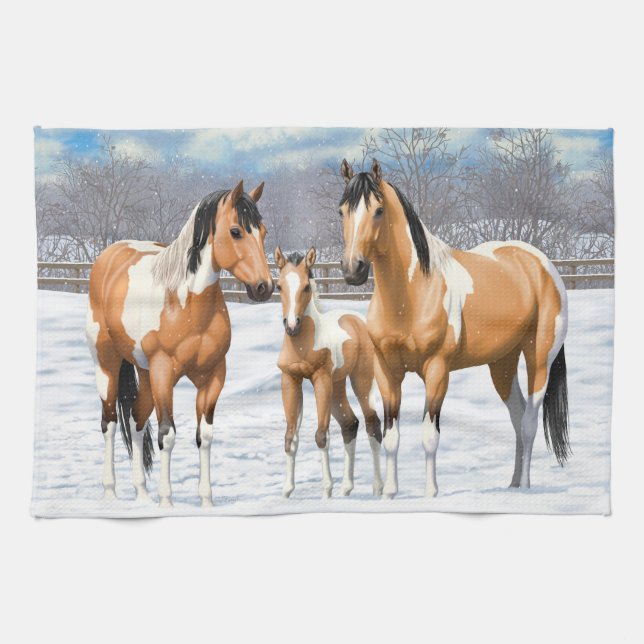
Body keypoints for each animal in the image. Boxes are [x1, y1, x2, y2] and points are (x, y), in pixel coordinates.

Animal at [85, 180, 274, 507]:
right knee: (109, 423)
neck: (185, 304)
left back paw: (141, 494)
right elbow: (167, 435)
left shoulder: (213, 375)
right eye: (236, 231)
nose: (265, 287)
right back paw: (110, 492)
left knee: (135, 419)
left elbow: (205, 436)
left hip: (145, 372)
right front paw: (166, 501)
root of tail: (109, 255)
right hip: (107, 364)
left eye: (262, 232)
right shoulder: (164, 372)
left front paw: (206, 501)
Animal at [274, 246, 383, 499]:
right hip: (337, 386)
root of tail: (357, 320)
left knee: (372, 424)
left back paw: (378, 487)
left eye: (306, 286)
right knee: (350, 423)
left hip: (360, 381)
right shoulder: (290, 380)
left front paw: (326, 490)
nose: (291, 325)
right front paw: (287, 490)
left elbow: (321, 435)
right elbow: (290, 437)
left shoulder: (320, 379)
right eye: (279, 286)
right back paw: (346, 488)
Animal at [337, 158, 570, 499]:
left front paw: (430, 492)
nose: (352, 269)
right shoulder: (387, 371)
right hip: (502, 364)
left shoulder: (437, 370)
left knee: (528, 421)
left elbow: (429, 435)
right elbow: (391, 436)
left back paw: (525, 487)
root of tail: (541, 264)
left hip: (538, 359)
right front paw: (390, 493)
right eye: (341, 211)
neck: (412, 294)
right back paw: (512, 484)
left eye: (378, 210)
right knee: (516, 416)